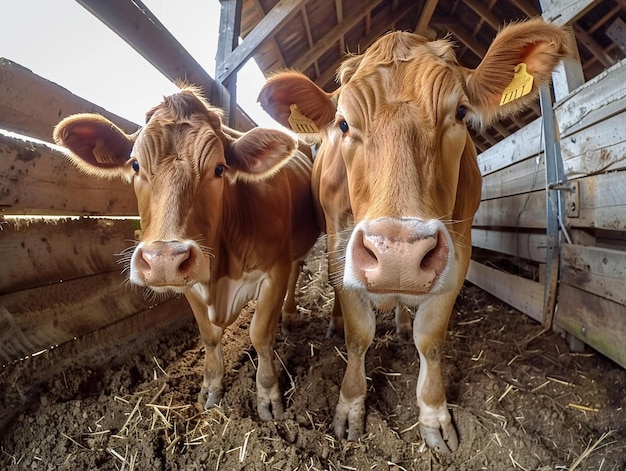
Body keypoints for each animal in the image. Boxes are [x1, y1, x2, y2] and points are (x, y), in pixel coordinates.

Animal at [52, 86, 322, 422]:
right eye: (135, 165)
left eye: (219, 168)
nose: (164, 260)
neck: (220, 270)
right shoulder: (192, 282)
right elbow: (208, 336)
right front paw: (211, 389)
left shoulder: (275, 270)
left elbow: (260, 334)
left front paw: (268, 396)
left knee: (296, 274)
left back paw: (289, 317)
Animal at [258, 19, 572, 454]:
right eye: (343, 123)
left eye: (460, 112)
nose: (398, 256)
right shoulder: (340, 240)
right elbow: (358, 334)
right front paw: (350, 406)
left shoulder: (459, 249)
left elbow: (431, 338)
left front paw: (434, 415)